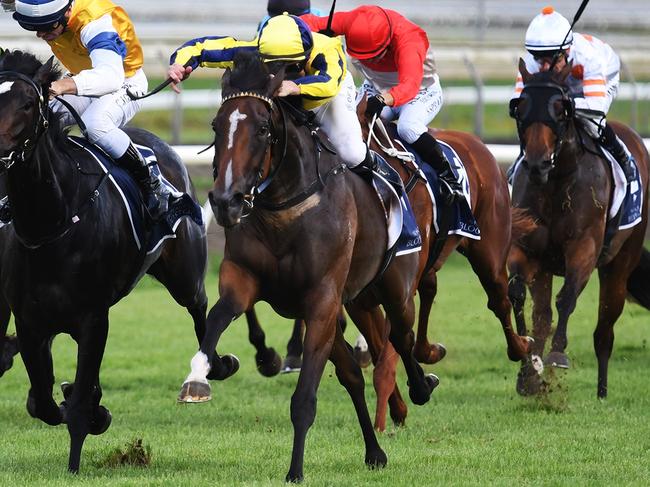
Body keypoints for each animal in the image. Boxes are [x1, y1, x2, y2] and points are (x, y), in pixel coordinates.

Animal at [0, 52, 208, 472]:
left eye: (28, 104)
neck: (54, 224)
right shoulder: (30, 321)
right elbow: (43, 401)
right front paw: (76, 401)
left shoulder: (93, 318)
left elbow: (79, 401)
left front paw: (81, 444)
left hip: (185, 274)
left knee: (200, 307)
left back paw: (206, 375)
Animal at [176, 50, 436, 484]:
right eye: (216, 125)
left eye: (264, 129)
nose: (226, 202)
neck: (285, 209)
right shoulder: (243, 278)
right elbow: (217, 317)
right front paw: (198, 379)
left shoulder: (321, 302)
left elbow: (304, 399)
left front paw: (295, 470)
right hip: (352, 303)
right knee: (352, 373)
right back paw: (375, 451)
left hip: (393, 288)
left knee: (401, 334)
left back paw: (420, 388)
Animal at [506, 59, 648, 398]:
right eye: (521, 107)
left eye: (561, 109)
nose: (537, 164)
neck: (557, 182)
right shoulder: (527, 249)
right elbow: (517, 294)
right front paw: (528, 368)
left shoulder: (584, 247)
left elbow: (567, 297)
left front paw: (557, 356)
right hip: (545, 267)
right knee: (542, 315)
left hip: (619, 264)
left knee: (604, 329)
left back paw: (602, 391)